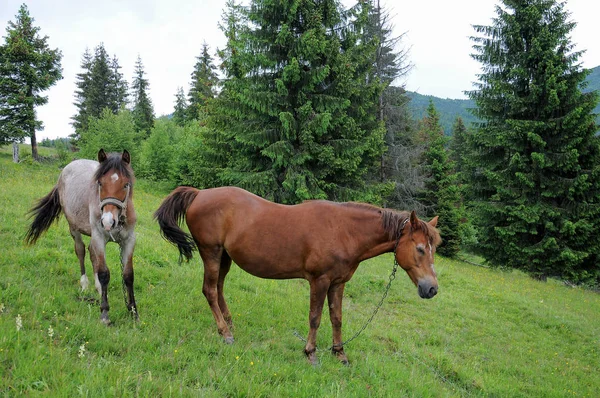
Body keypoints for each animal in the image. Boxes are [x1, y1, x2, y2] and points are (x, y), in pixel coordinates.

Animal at [25, 149, 138, 326]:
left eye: (126, 184)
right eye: (100, 184)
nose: (108, 222)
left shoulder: (128, 241)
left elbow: (128, 275)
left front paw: (133, 312)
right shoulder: (99, 238)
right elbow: (104, 274)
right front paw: (104, 313)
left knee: (92, 254)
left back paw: (97, 287)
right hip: (74, 228)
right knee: (81, 251)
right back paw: (85, 284)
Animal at [152, 187, 438, 364]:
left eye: (435, 248)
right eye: (420, 248)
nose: (432, 289)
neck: (344, 230)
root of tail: (200, 193)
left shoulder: (338, 284)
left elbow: (337, 318)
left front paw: (339, 353)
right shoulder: (319, 281)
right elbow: (315, 318)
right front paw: (311, 353)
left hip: (224, 257)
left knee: (219, 288)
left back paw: (228, 323)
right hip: (210, 252)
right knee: (210, 290)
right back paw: (225, 333)